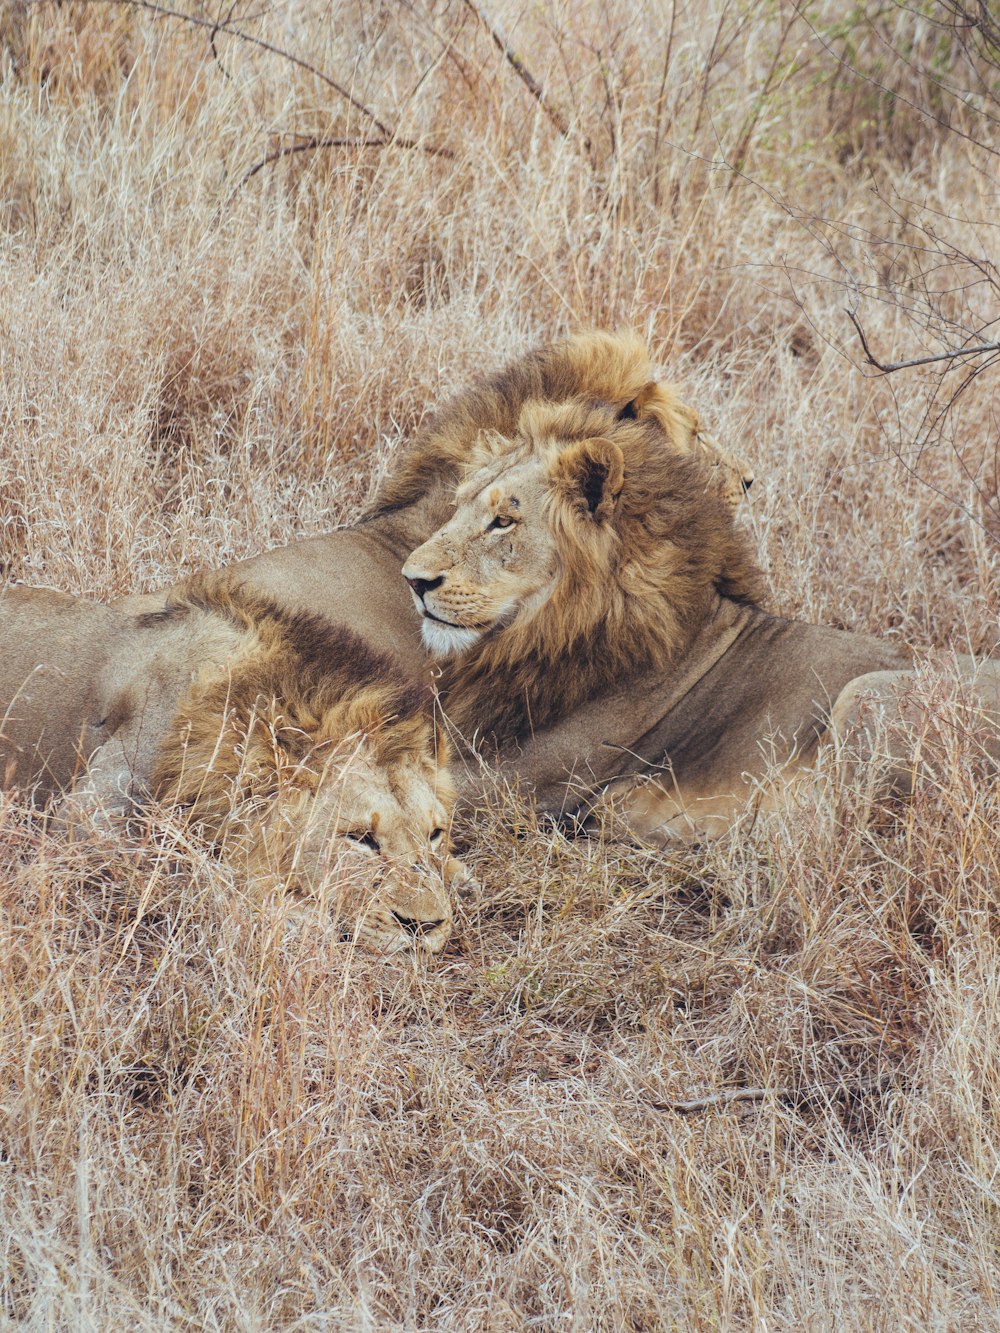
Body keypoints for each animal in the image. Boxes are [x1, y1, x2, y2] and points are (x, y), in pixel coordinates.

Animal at [0, 578, 466, 954]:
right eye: (359, 838)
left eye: (435, 834)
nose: (425, 926)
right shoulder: (83, 819)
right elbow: (199, 870)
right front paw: (300, 916)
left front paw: (459, 874)